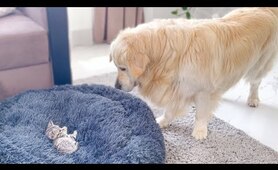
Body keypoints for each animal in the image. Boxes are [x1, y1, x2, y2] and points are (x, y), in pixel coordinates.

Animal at [108, 7, 278, 139]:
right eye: (116, 66)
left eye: (123, 68)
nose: (116, 87)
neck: (166, 54)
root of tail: (266, 9)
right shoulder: (177, 88)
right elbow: (170, 110)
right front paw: (162, 121)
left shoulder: (203, 90)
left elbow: (201, 113)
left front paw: (200, 131)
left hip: (260, 64)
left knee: (255, 82)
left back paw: (253, 99)